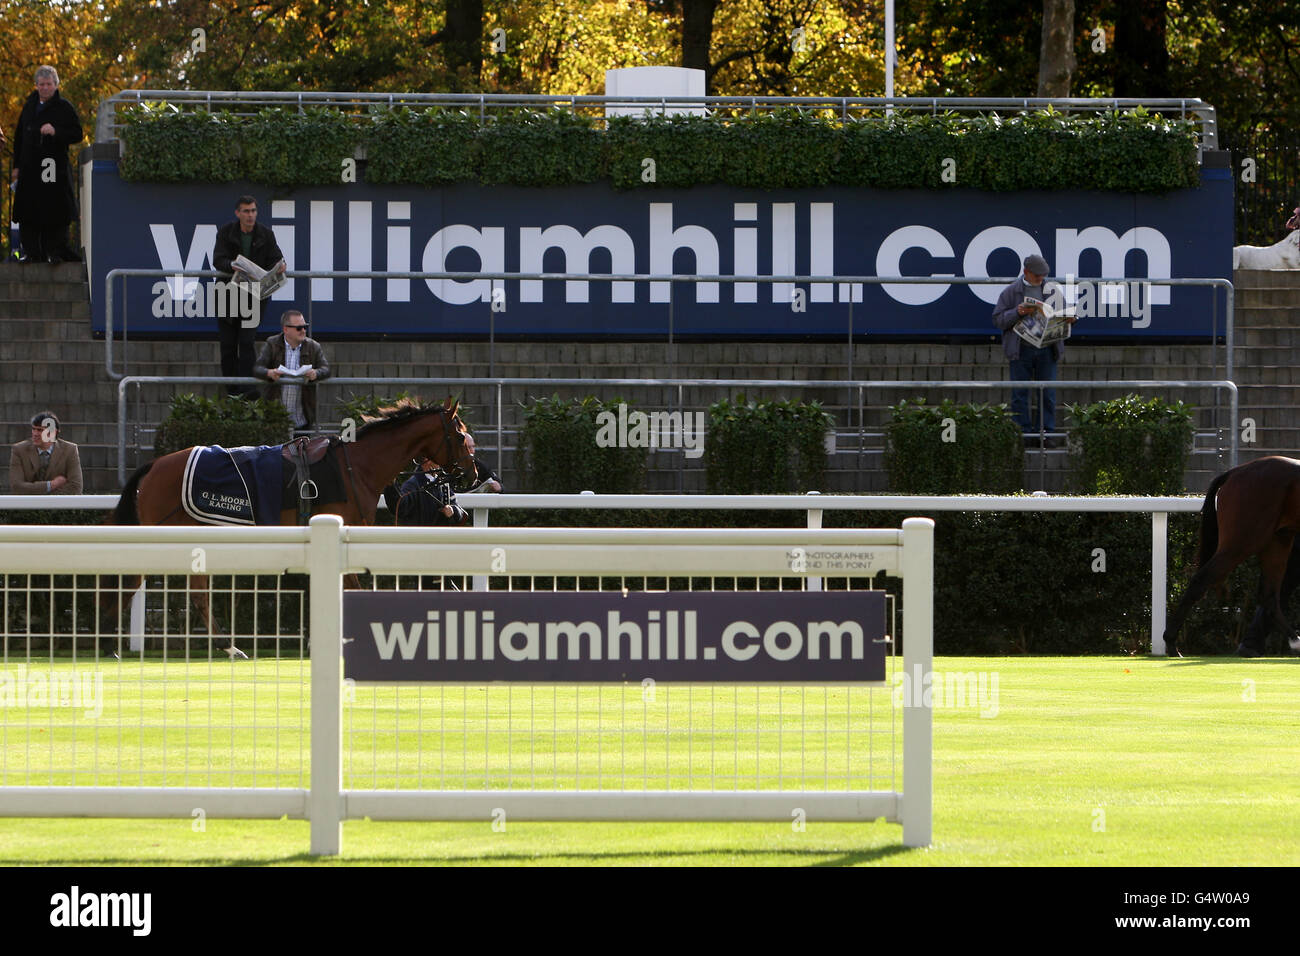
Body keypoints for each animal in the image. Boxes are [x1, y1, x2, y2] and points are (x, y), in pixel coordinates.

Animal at [98, 398, 478, 658]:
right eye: (461, 436)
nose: (473, 474)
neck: (355, 466)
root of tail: (154, 465)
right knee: (133, 582)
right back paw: (110, 642)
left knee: (196, 593)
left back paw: (225, 645)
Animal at [1164, 455, 1300, 658]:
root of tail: (1234, 472)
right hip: (1242, 542)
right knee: (1200, 580)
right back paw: (1172, 644)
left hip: (1278, 540)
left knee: (1269, 595)